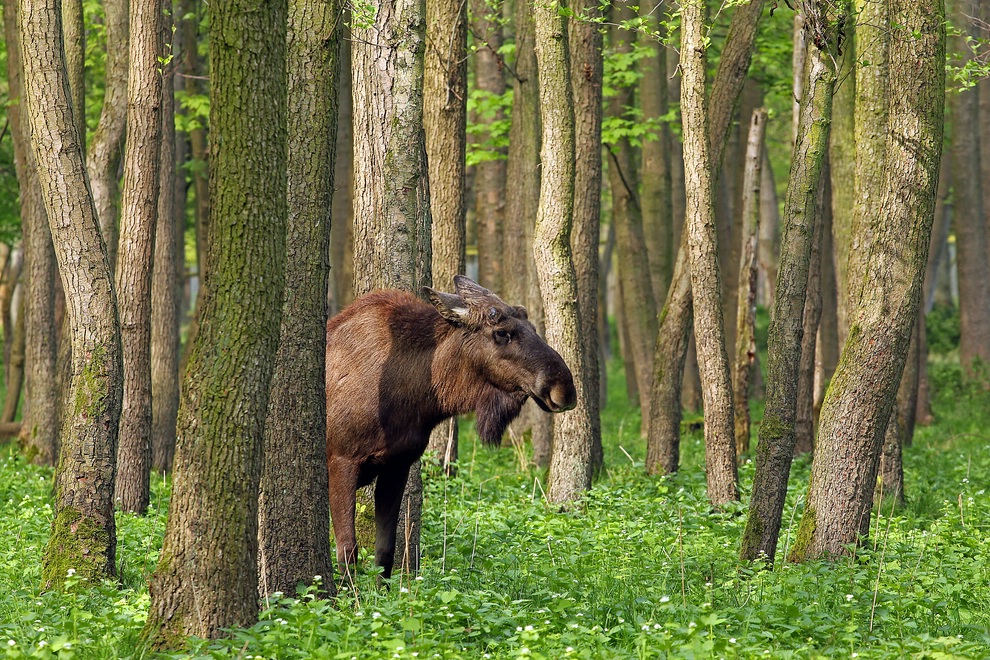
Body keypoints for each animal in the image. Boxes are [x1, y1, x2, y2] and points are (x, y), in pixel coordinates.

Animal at [328, 276, 572, 580]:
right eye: (501, 333)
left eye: (534, 328)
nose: (564, 388)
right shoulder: (341, 461)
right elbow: (347, 552)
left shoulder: (396, 464)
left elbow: (384, 553)